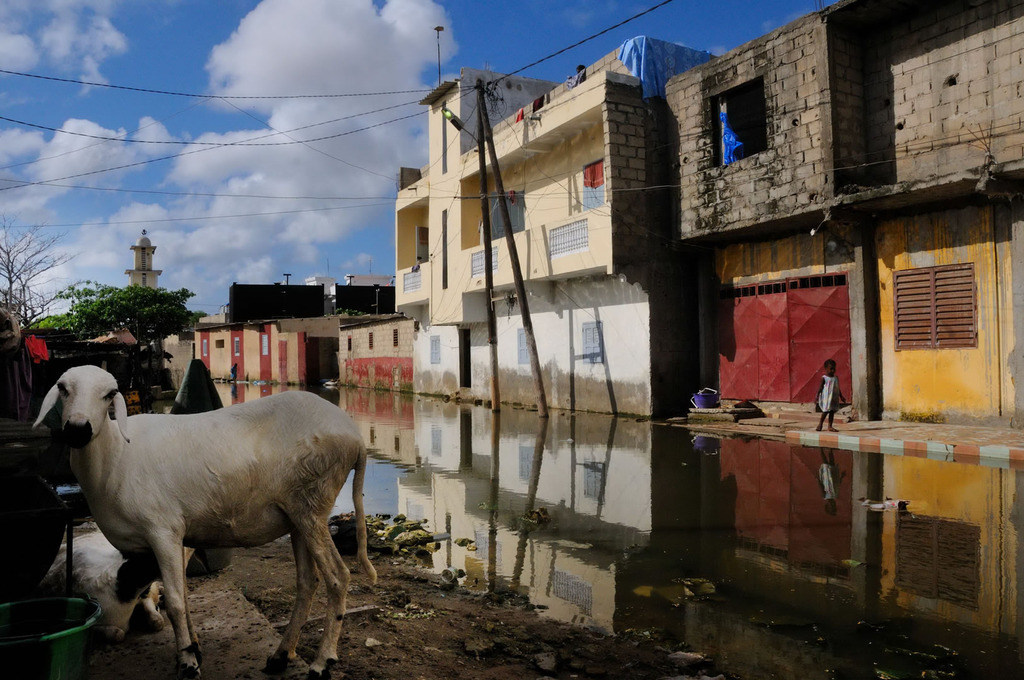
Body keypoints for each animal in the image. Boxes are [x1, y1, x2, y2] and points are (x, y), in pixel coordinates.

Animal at [36, 366, 382, 680]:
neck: (115, 455)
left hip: (312, 502)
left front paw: (188, 663)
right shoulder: (171, 540)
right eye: (63, 388)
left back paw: (322, 663)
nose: (78, 429)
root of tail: (355, 435)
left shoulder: (163, 531)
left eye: (109, 394)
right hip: (298, 514)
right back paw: (281, 657)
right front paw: (194, 649)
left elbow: (175, 602)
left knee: (338, 578)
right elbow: (181, 597)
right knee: (308, 582)